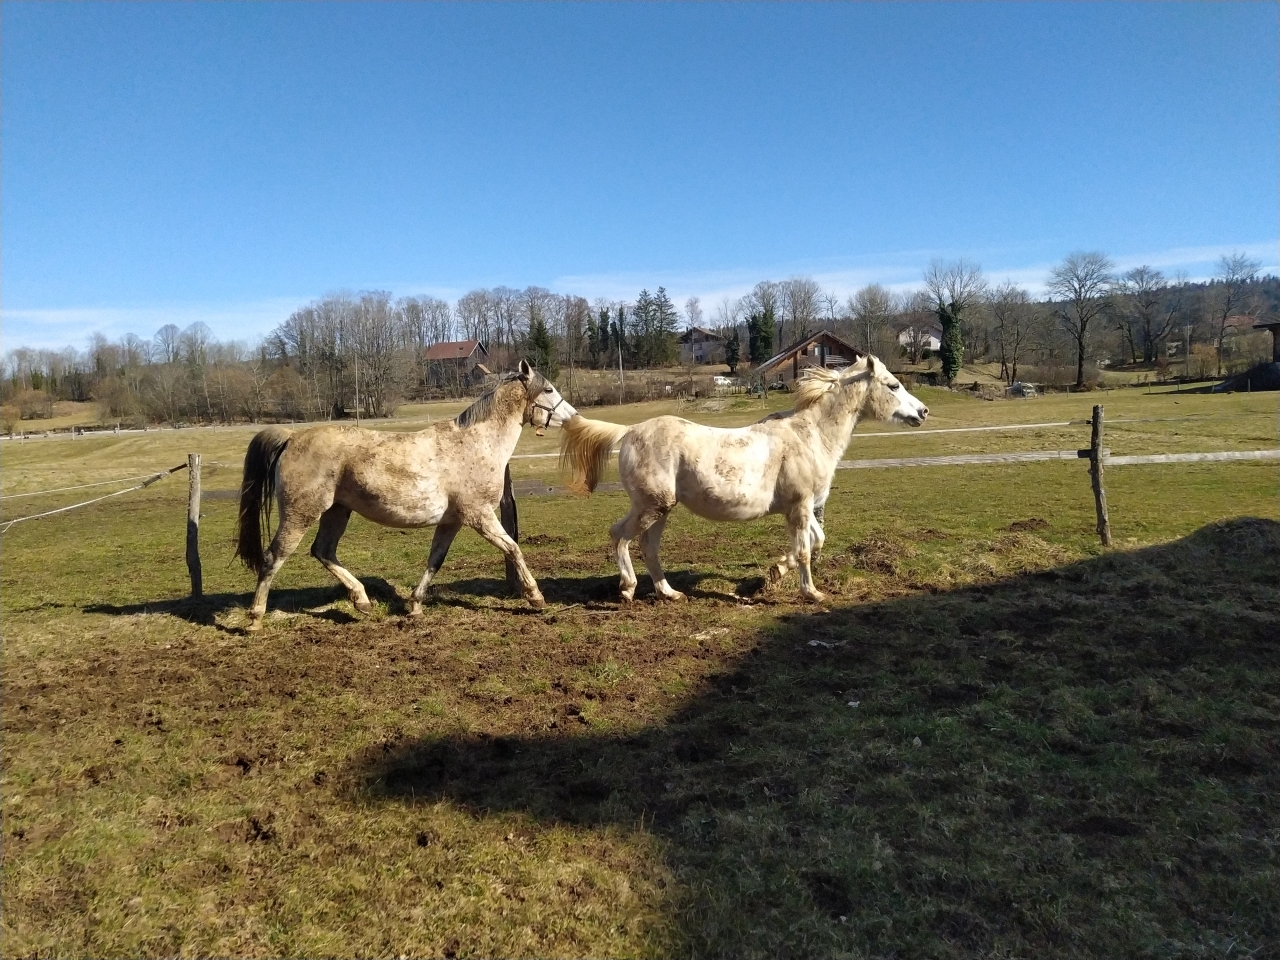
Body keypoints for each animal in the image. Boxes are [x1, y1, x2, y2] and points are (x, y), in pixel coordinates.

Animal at [235, 360, 576, 630]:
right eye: (548, 390)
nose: (572, 416)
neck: (477, 444)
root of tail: (291, 438)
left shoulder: (451, 521)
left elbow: (435, 560)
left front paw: (415, 605)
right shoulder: (479, 516)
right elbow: (513, 549)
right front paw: (536, 597)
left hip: (337, 511)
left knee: (323, 551)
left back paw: (362, 601)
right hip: (300, 514)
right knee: (274, 557)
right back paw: (255, 619)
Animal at [558, 354, 929, 603]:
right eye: (893, 385)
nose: (923, 412)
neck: (810, 437)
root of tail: (630, 430)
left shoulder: (802, 506)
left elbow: (816, 541)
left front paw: (774, 573)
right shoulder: (800, 506)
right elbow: (805, 551)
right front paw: (811, 593)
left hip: (660, 510)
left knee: (649, 547)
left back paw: (671, 593)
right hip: (651, 506)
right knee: (619, 535)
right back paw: (627, 589)